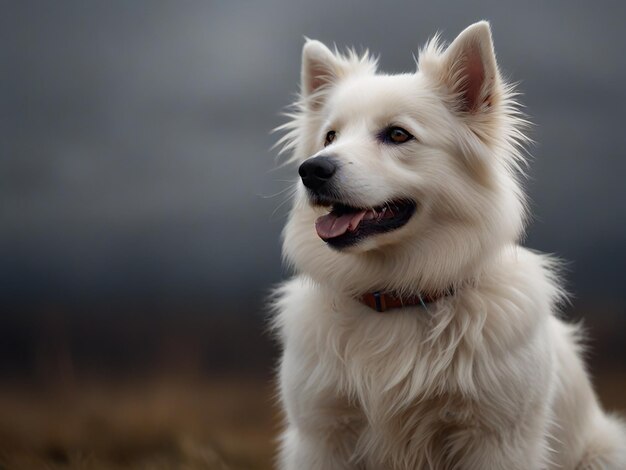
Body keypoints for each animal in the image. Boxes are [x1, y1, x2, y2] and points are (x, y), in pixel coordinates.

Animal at [270, 20, 620, 468]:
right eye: (330, 136)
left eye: (398, 134)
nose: (311, 170)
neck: (396, 295)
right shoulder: (323, 435)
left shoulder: (498, 439)